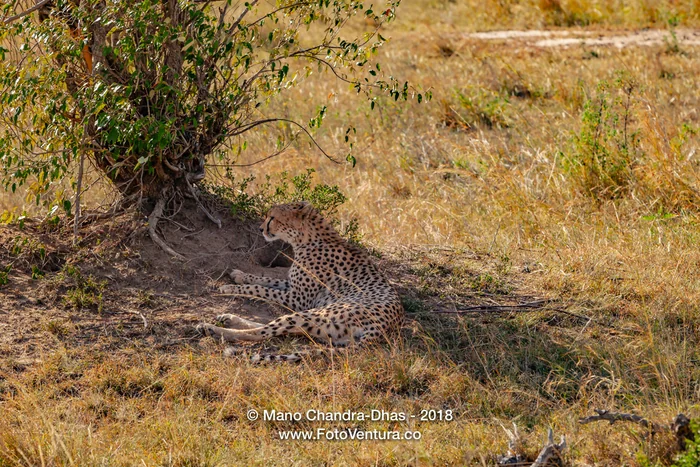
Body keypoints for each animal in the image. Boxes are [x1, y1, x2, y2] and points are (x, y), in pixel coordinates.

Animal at [196, 202, 404, 362]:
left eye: (272, 218)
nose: (261, 229)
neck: (308, 238)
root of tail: (386, 327)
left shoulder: (298, 299)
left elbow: (260, 289)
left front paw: (229, 287)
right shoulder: (293, 288)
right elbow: (266, 280)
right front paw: (239, 275)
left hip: (313, 313)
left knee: (262, 332)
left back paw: (212, 329)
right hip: (321, 328)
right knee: (276, 328)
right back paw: (227, 318)